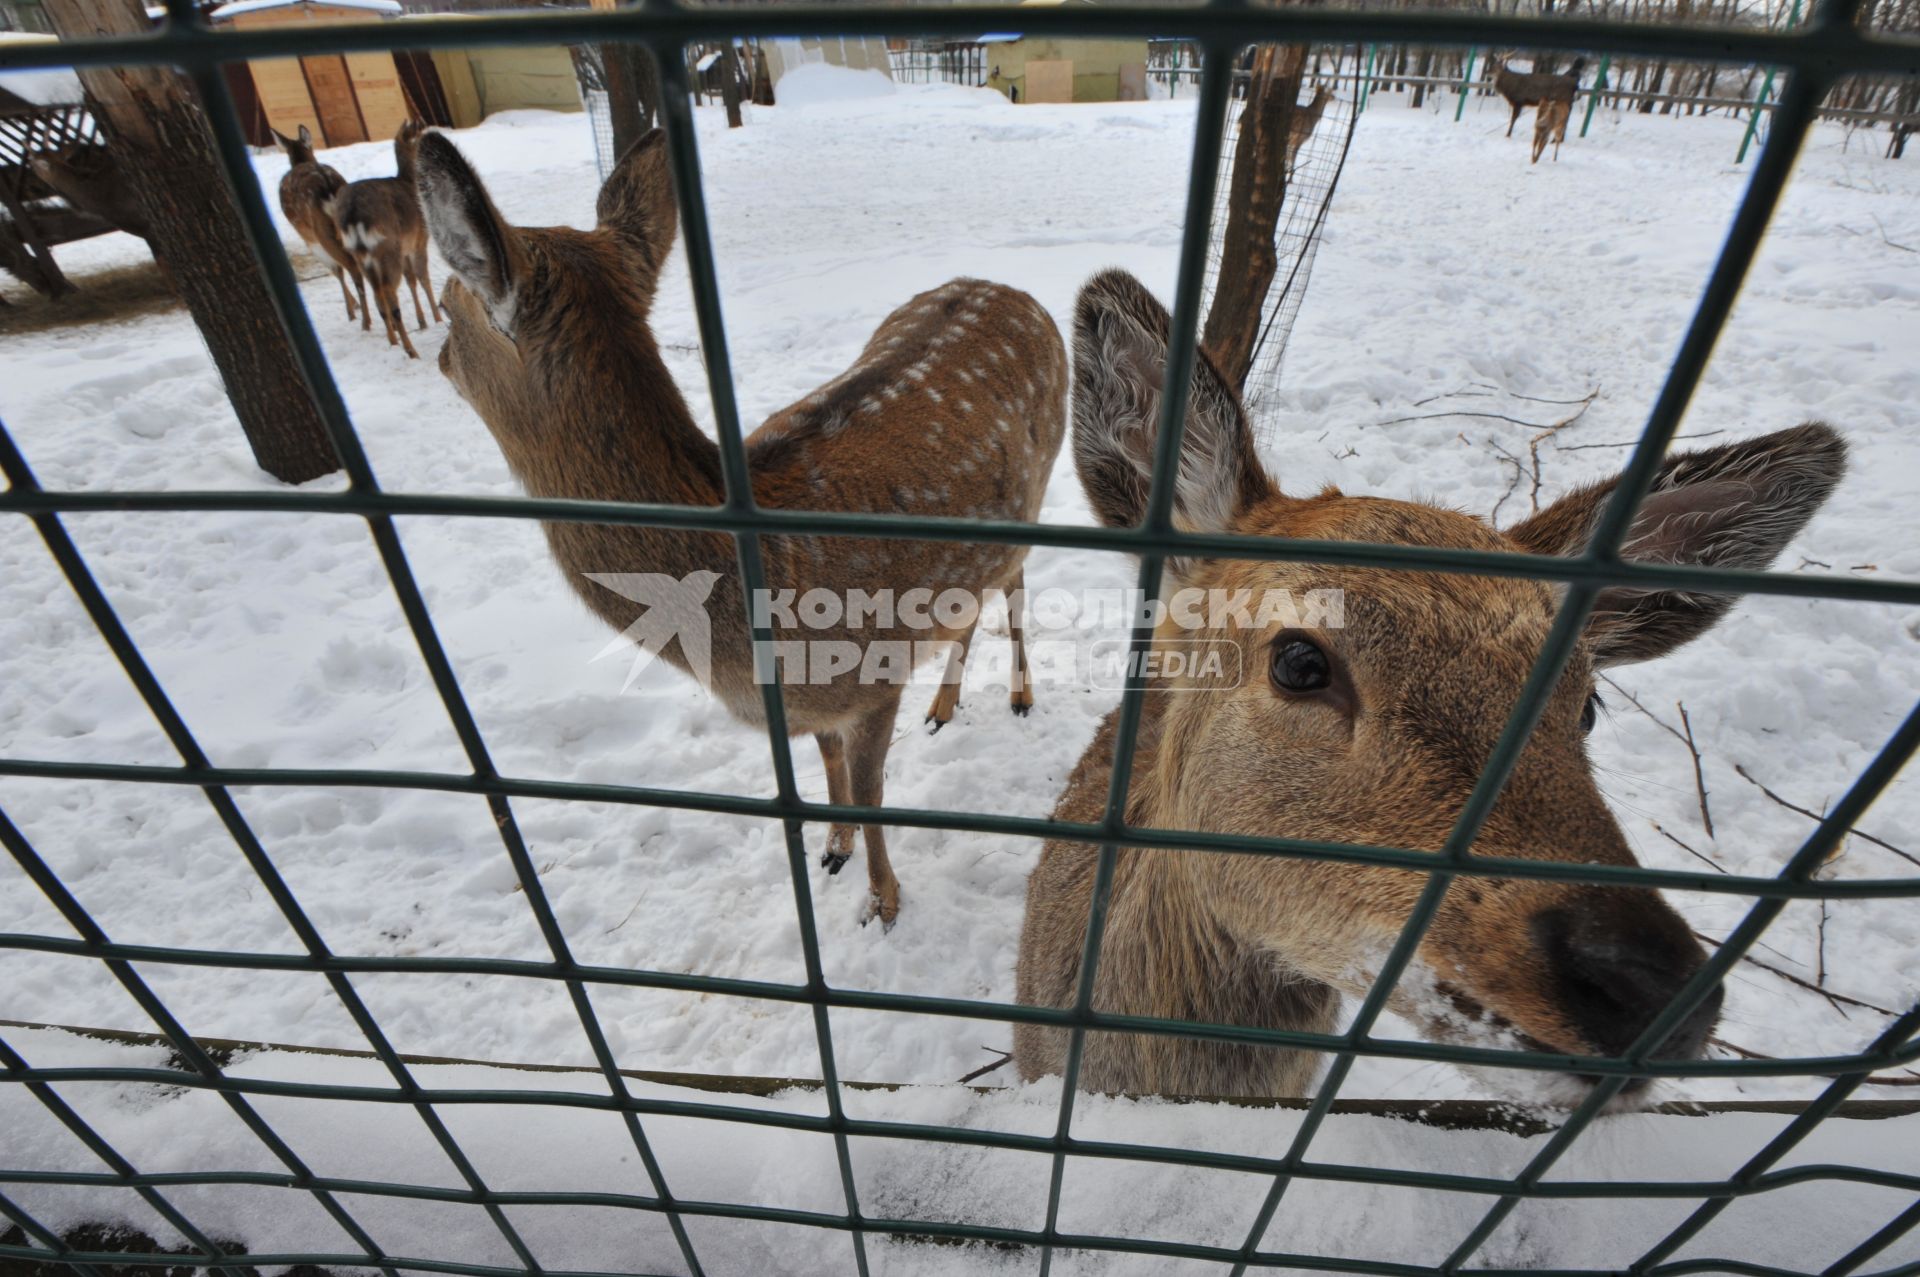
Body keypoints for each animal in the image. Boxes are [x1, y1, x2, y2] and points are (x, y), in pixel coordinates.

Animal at [276, 125, 368, 328]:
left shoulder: (309, 239)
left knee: (351, 267)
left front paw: (351, 311)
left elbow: (335, 270)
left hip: (321, 231)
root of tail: (328, 185)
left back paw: (366, 322)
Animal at [336, 118, 447, 353]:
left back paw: (394, 341)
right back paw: (410, 349)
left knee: (377, 294)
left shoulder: (405, 248)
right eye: (420, 135)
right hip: (387, 248)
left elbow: (411, 280)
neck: (409, 181)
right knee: (388, 293)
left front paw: (422, 321)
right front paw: (437, 318)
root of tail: (353, 216)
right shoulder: (419, 241)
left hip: (361, 255)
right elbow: (423, 278)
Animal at [416, 131, 1067, 925]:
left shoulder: (874, 673)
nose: (437, 356)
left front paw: (883, 902)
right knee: (978, 596)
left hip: (1041, 481)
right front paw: (833, 848)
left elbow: (874, 789)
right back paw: (944, 706)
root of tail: (1018, 292)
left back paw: (1018, 696)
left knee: (1016, 582)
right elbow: (827, 761)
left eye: (447, 301)